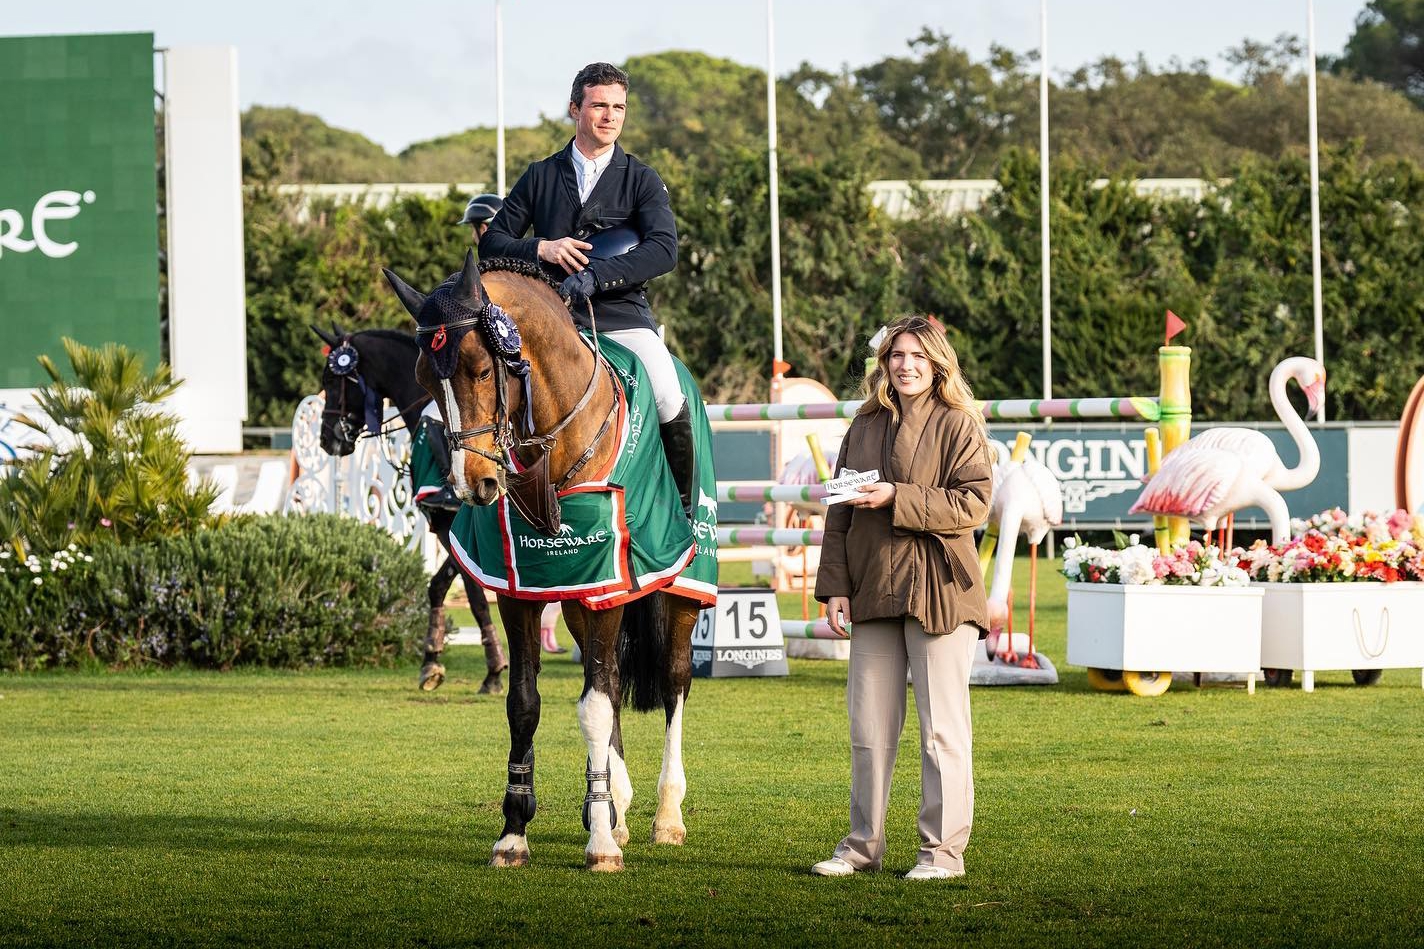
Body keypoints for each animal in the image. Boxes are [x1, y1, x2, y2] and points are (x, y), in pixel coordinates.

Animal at [314, 322, 509, 692]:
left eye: (332, 381)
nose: (327, 440)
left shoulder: (449, 525)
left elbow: (474, 597)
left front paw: (493, 670)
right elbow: (438, 586)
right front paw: (432, 660)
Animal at [381, 253, 697, 872]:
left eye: (482, 370)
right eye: (426, 380)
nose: (472, 483)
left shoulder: (605, 586)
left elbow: (595, 708)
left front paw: (599, 842)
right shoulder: (519, 589)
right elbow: (525, 704)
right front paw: (515, 832)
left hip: (681, 587)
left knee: (673, 680)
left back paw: (665, 815)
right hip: (574, 602)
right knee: (612, 677)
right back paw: (618, 805)